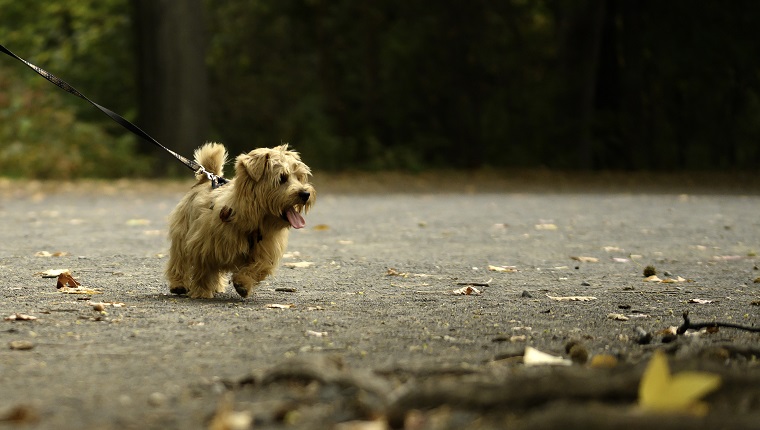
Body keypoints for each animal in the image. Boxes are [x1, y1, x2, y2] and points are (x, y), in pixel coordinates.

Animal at [166, 143, 314, 298]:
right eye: (282, 178)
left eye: (299, 177)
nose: (306, 193)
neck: (255, 221)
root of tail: (206, 180)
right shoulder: (203, 245)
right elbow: (203, 271)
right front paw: (202, 291)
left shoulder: (265, 250)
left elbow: (259, 266)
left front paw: (243, 283)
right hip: (182, 235)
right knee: (179, 261)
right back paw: (179, 284)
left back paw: (217, 286)